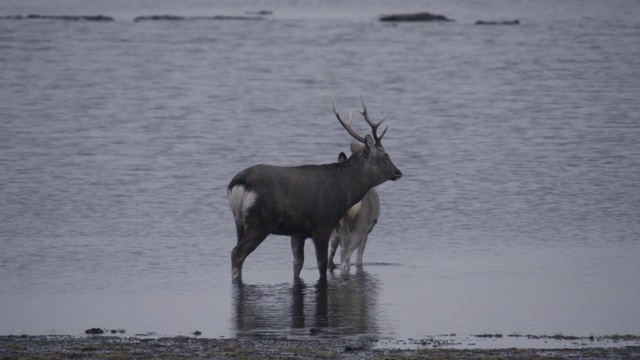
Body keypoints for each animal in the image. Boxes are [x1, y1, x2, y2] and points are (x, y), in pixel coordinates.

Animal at [228, 97, 402, 282]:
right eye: (386, 156)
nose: (398, 172)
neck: (344, 192)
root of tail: (237, 185)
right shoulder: (322, 224)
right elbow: (322, 264)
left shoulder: (297, 232)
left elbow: (298, 264)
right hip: (258, 222)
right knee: (237, 253)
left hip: (239, 222)